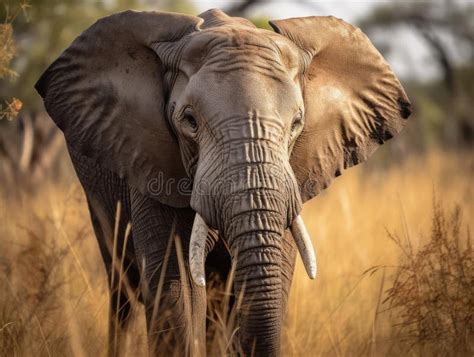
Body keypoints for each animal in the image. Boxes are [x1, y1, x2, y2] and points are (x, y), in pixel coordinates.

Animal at [35, 8, 410, 356]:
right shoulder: (151, 165)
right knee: (122, 288)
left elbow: (270, 279)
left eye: (297, 123)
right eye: (189, 121)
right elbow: (176, 290)